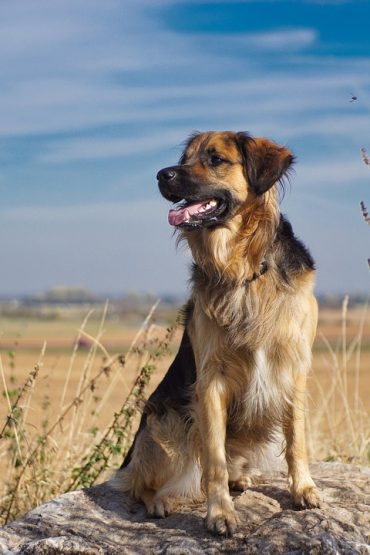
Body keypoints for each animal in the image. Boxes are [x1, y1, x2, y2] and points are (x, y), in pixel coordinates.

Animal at [113, 130, 320, 536]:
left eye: (215, 159)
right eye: (185, 158)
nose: (161, 175)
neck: (244, 265)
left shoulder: (294, 368)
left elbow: (297, 440)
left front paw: (303, 489)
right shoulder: (211, 380)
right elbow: (214, 460)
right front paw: (220, 513)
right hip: (167, 425)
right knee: (140, 484)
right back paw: (159, 501)